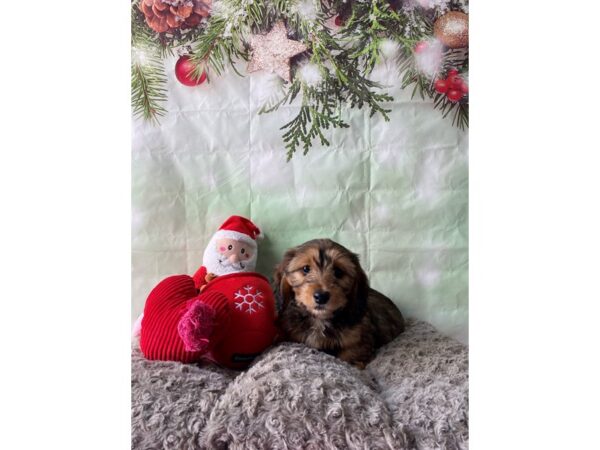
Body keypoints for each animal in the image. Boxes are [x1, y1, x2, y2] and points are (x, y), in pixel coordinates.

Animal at [274, 239, 406, 370]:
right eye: (306, 269)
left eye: (338, 272)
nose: (321, 296)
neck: (320, 320)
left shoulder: (358, 339)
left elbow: (349, 354)